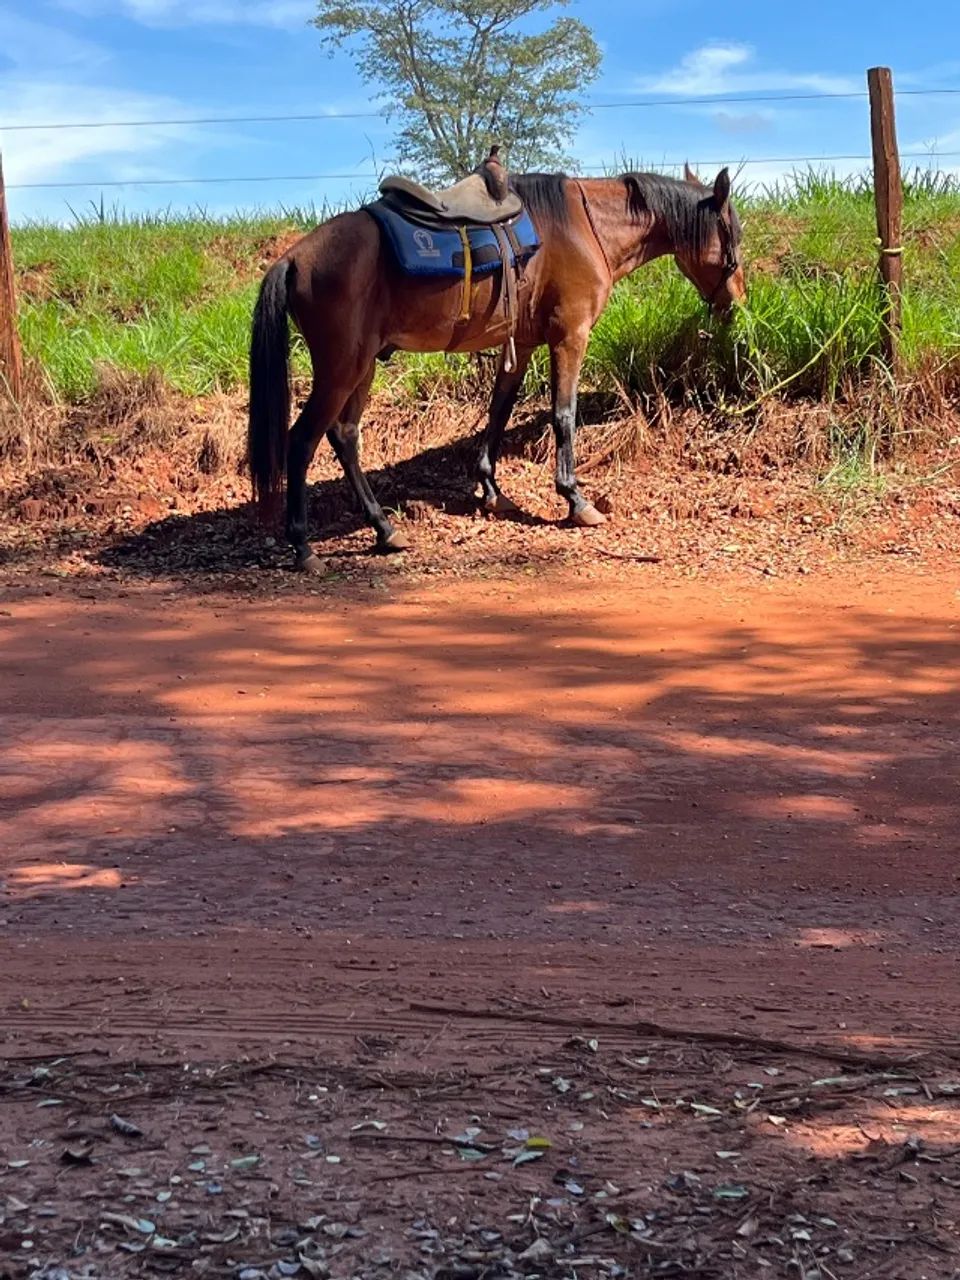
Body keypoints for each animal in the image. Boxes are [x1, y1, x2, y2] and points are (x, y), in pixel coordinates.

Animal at [247, 164, 745, 571]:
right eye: (732, 237)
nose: (738, 305)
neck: (585, 227)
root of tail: (293, 258)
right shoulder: (570, 336)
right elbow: (563, 416)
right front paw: (574, 499)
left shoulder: (520, 344)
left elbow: (498, 412)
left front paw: (491, 489)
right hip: (341, 369)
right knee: (302, 440)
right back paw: (304, 547)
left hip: (361, 367)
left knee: (345, 436)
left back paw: (384, 529)